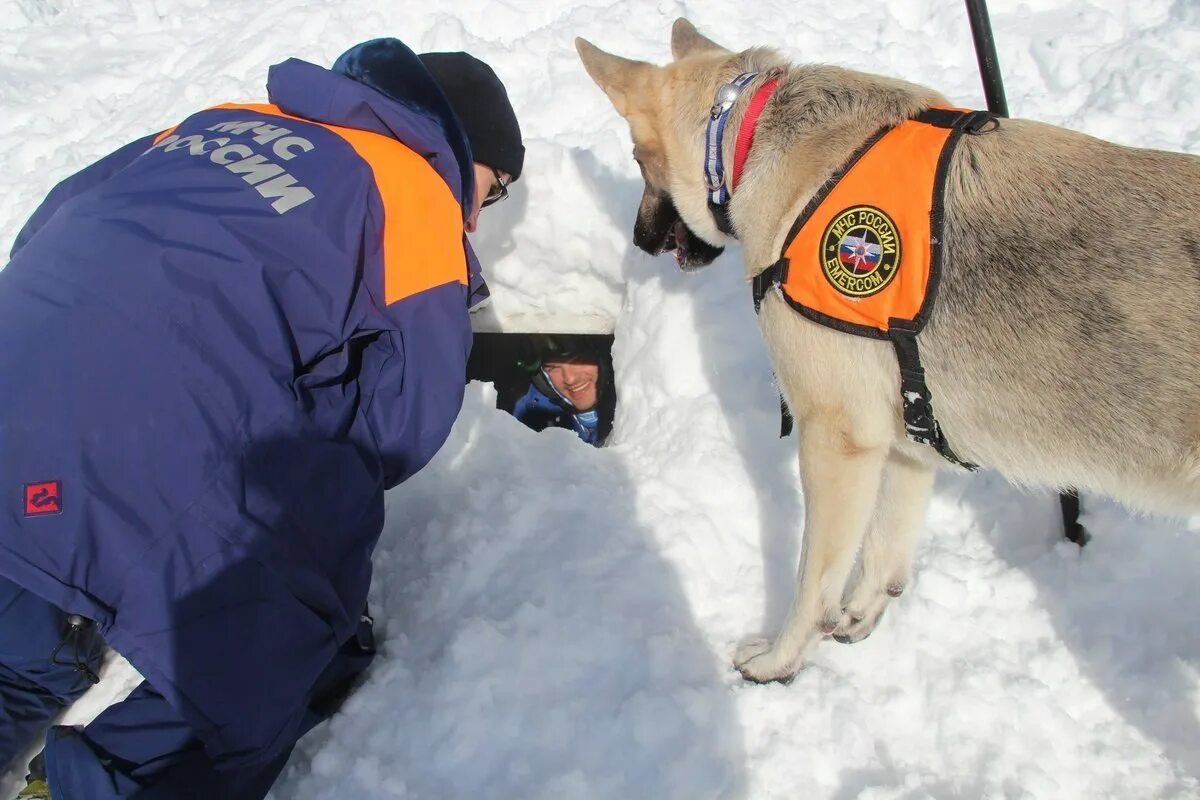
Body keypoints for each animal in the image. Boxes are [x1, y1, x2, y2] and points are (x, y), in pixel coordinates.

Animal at [573, 18, 1200, 681]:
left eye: (639, 158)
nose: (639, 241)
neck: (747, 133)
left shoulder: (836, 438)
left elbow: (814, 581)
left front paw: (780, 661)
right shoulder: (906, 432)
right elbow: (884, 549)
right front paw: (859, 617)